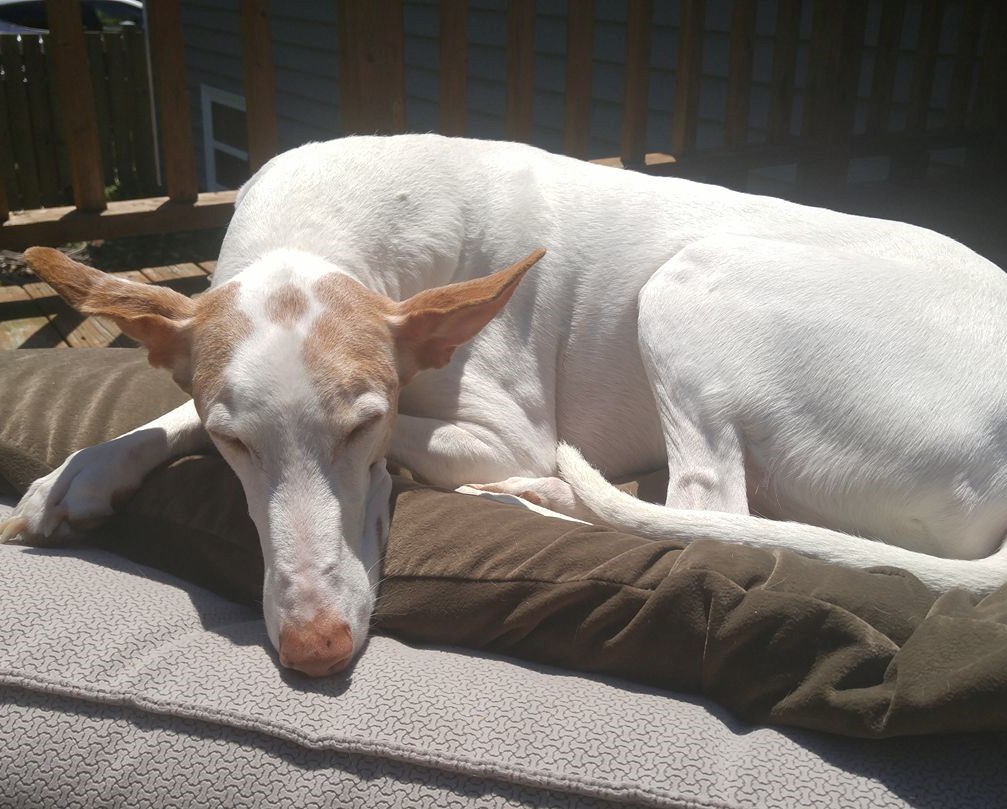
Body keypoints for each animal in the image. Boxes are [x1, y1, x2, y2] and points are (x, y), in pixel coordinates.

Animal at [4, 134, 1007, 677]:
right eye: (234, 442)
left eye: (362, 424)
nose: (316, 647)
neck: (329, 219)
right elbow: (170, 409)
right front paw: (78, 474)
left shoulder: (503, 429)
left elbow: (452, 441)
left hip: (690, 282)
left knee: (702, 510)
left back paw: (537, 500)